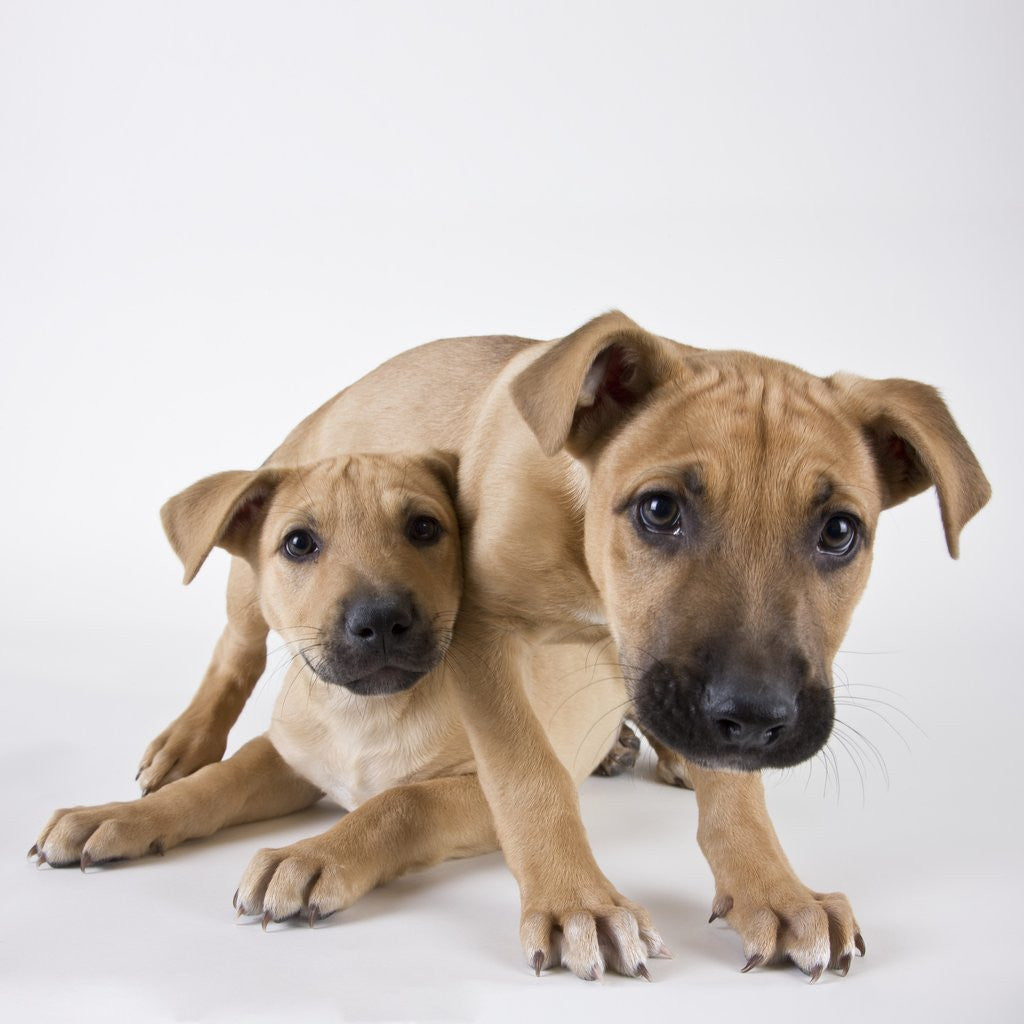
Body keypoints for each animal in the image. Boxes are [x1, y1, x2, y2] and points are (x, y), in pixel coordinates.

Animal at [32, 452, 634, 954]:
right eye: (299, 543)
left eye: (424, 527)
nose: (381, 620)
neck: (364, 713)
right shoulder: (289, 754)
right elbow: (215, 782)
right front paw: (117, 815)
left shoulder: (488, 786)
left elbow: (402, 802)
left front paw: (308, 856)